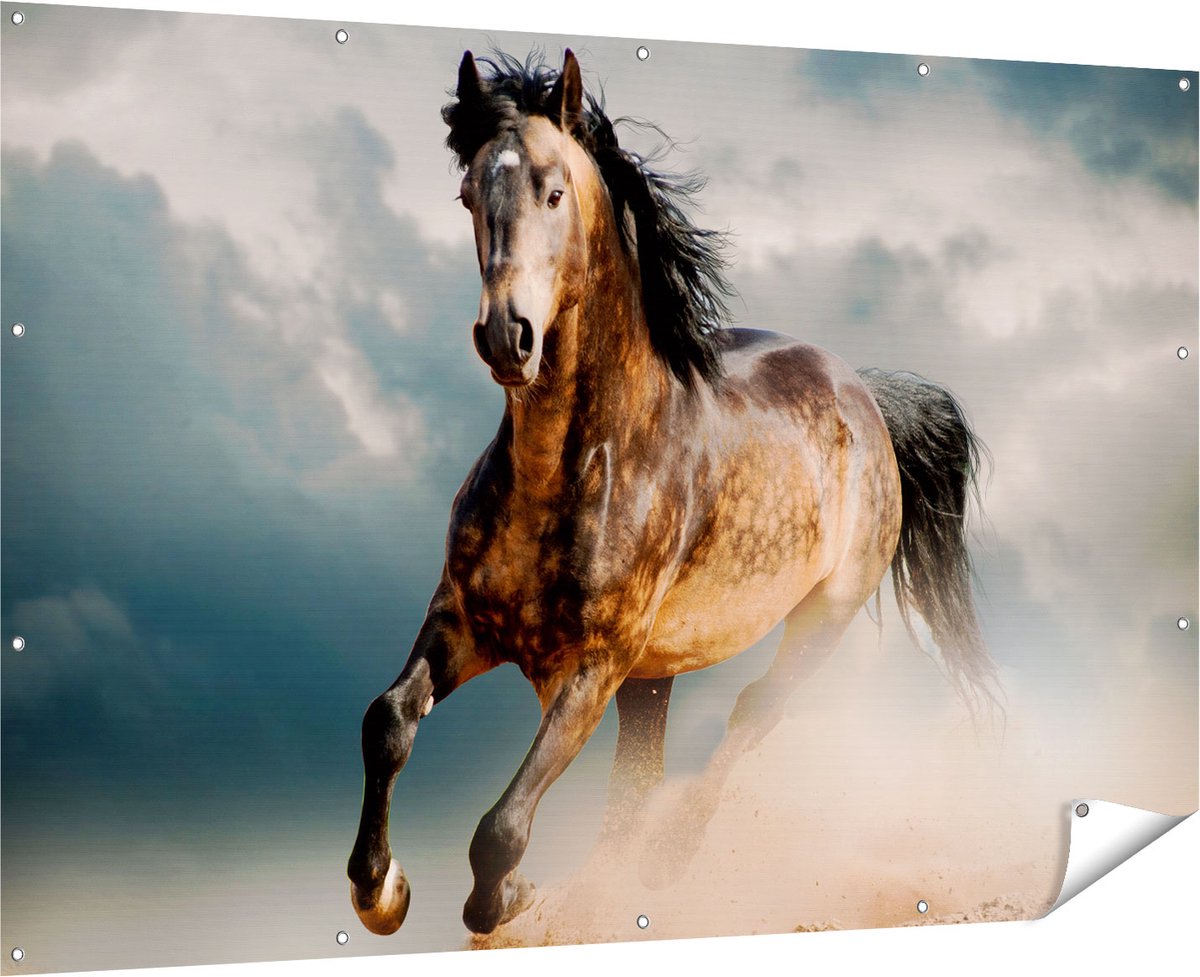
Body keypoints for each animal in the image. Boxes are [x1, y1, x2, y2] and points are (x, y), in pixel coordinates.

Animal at [347, 49, 997, 937]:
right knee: (639, 780)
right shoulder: (463, 622)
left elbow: (501, 827)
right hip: (654, 678)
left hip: (818, 618)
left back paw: (667, 857)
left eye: (554, 190)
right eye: (469, 194)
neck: (571, 471)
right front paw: (380, 889)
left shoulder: (593, 666)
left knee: (750, 714)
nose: (507, 336)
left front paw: (509, 896)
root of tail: (864, 392)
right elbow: (387, 721)